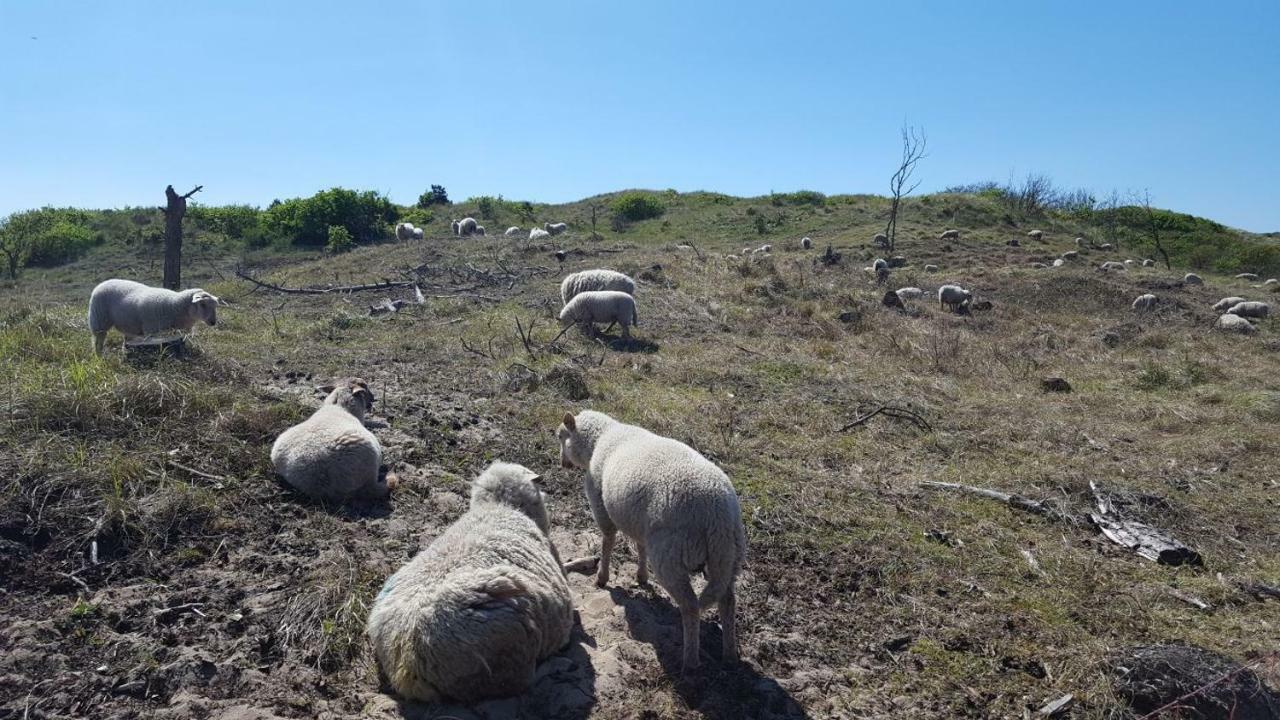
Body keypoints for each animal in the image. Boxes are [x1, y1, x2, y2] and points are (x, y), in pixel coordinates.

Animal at [87, 278, 220, 353]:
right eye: (202, 304)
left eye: (215, 306)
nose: (213, 322)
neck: (175, 305)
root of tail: (102, 283)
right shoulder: (151, 331)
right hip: (99, 320)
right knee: (98, 342)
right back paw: (99, 358)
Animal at [555, 409, 747, 671]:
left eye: (560, 436)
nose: (561, 463)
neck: (600, 439)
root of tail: (717, 514)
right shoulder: (640, 523)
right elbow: (640, 547)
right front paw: (641, 576)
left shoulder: (601, 504)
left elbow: (607, 541)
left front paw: (602, 578)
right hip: (727, 556)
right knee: (727, 600)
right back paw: (729, 656)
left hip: (671, 555)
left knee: (691, 606)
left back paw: (690, 662)